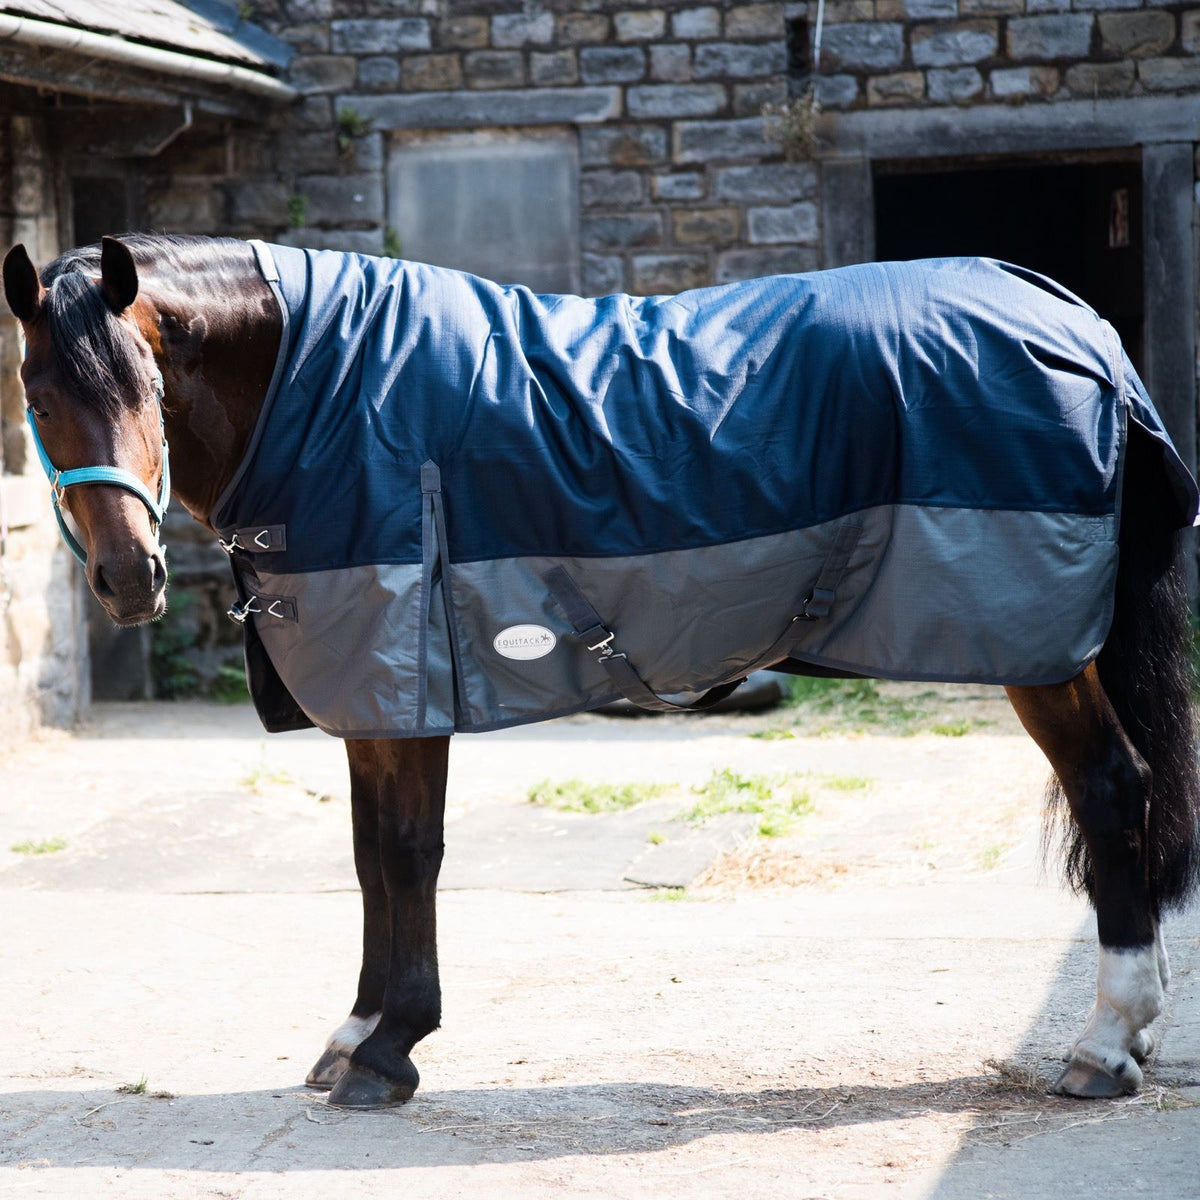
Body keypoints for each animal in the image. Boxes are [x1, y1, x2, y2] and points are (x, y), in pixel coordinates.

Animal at [4, 233, 1198, 1109]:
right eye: (40, 396)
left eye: (148, 387)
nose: (130, 577)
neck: (335, 392)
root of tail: (1075, 322)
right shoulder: (369, 686)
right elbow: (369, 860)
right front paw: (353, 1034)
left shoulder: (410, 671)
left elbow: (408, 856)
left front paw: (391, 1049)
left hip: (1040, 650)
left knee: (1111, 788)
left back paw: (1103, 1043)